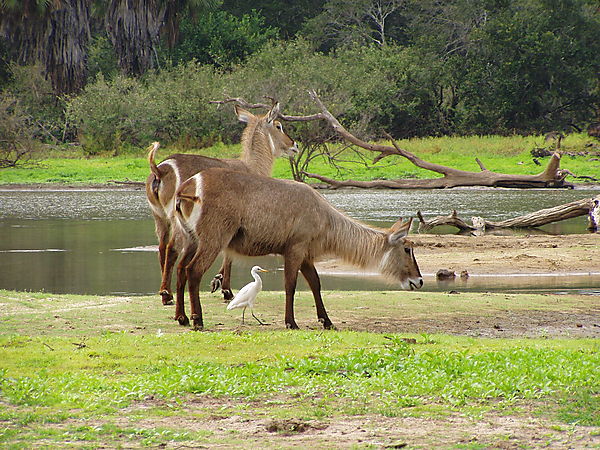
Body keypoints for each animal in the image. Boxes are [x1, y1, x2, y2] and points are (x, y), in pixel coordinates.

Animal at [145, 102, 296, 306]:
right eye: (278, 126)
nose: (294, 145)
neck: (251, 166)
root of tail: (160, 170)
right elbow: (228, 255)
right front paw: (225, 289)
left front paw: (218, 281)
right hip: (177, 220)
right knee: (172, 248)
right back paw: (167, 295)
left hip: (159, 217)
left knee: (162, 248)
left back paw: (165, 293)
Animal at [173, 167, 424, 328]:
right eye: (407, 248)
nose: (419, 281)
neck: (325, 217)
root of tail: (189, 186)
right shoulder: (295, 248)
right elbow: (290, 285)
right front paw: (291, 322)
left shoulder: (305, 254)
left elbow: (315, 284)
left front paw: (327, 321)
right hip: (213, 239)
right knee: (193, 270)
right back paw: (197, 320)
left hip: (190, 239)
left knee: (180, 269)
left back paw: (181, 318)